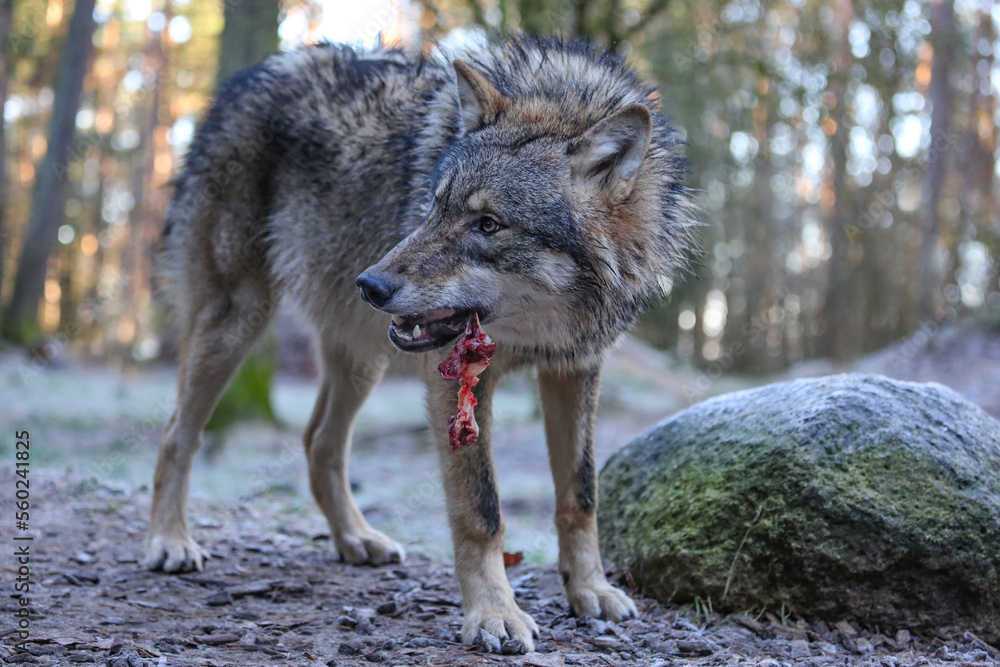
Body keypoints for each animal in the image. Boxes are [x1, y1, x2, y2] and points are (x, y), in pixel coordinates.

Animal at [148, 36, 694, 652]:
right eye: (434, 205)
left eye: (488, 224)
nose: (370, 284)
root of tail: (251, 74)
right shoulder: (458, 383)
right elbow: (482, 510)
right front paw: (495, 614)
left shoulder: (576, 368)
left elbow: (581, 494)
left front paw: (591, 591)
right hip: (236, 321)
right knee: (178, 433)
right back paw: (169, 541)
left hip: (361, 359)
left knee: (319, 442)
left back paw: (355, 539)